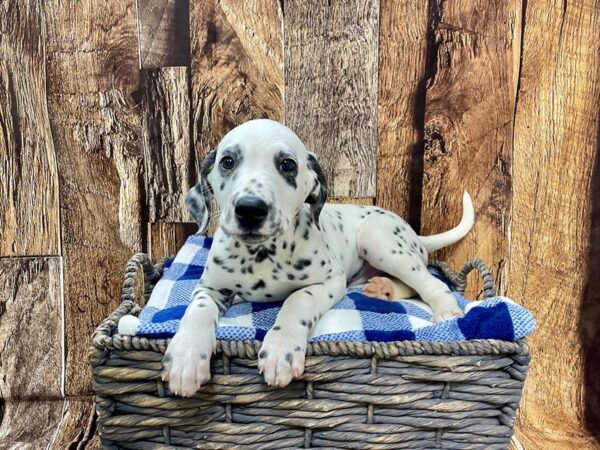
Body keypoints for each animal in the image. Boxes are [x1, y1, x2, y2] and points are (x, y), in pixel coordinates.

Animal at [163, 118, 474, 396]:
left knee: (429, 281)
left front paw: (282, 348)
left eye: (288, 164)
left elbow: (297, 299)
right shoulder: (210, 288)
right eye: (227, 161)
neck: (262, 255)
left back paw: (445, 310)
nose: (250, 209)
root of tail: (416, 236)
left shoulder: (330, 282)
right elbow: (197, 311)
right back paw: (383, 289)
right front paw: (185, 355)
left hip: (378, 240)